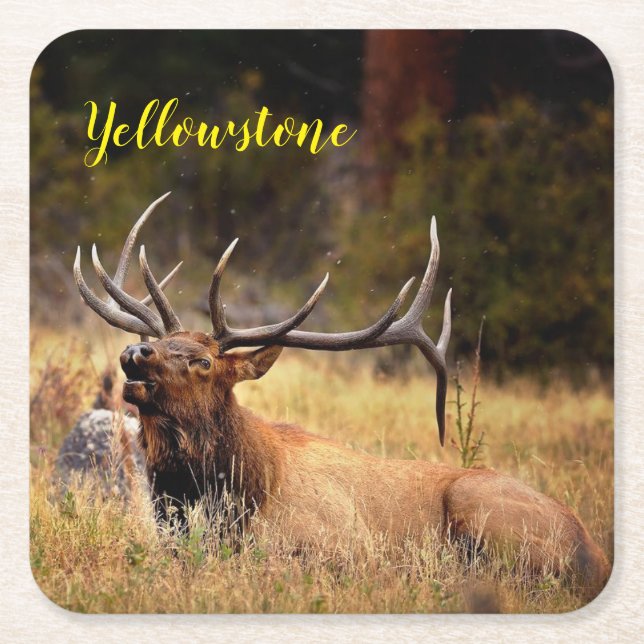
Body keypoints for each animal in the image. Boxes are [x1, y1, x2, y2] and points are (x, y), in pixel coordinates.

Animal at [73, 193, 610, 598]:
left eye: (204, 362)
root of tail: (595, 554)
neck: (241, 494)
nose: (136, 351)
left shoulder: (341, 546)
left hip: (482, 510)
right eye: (163, 343)